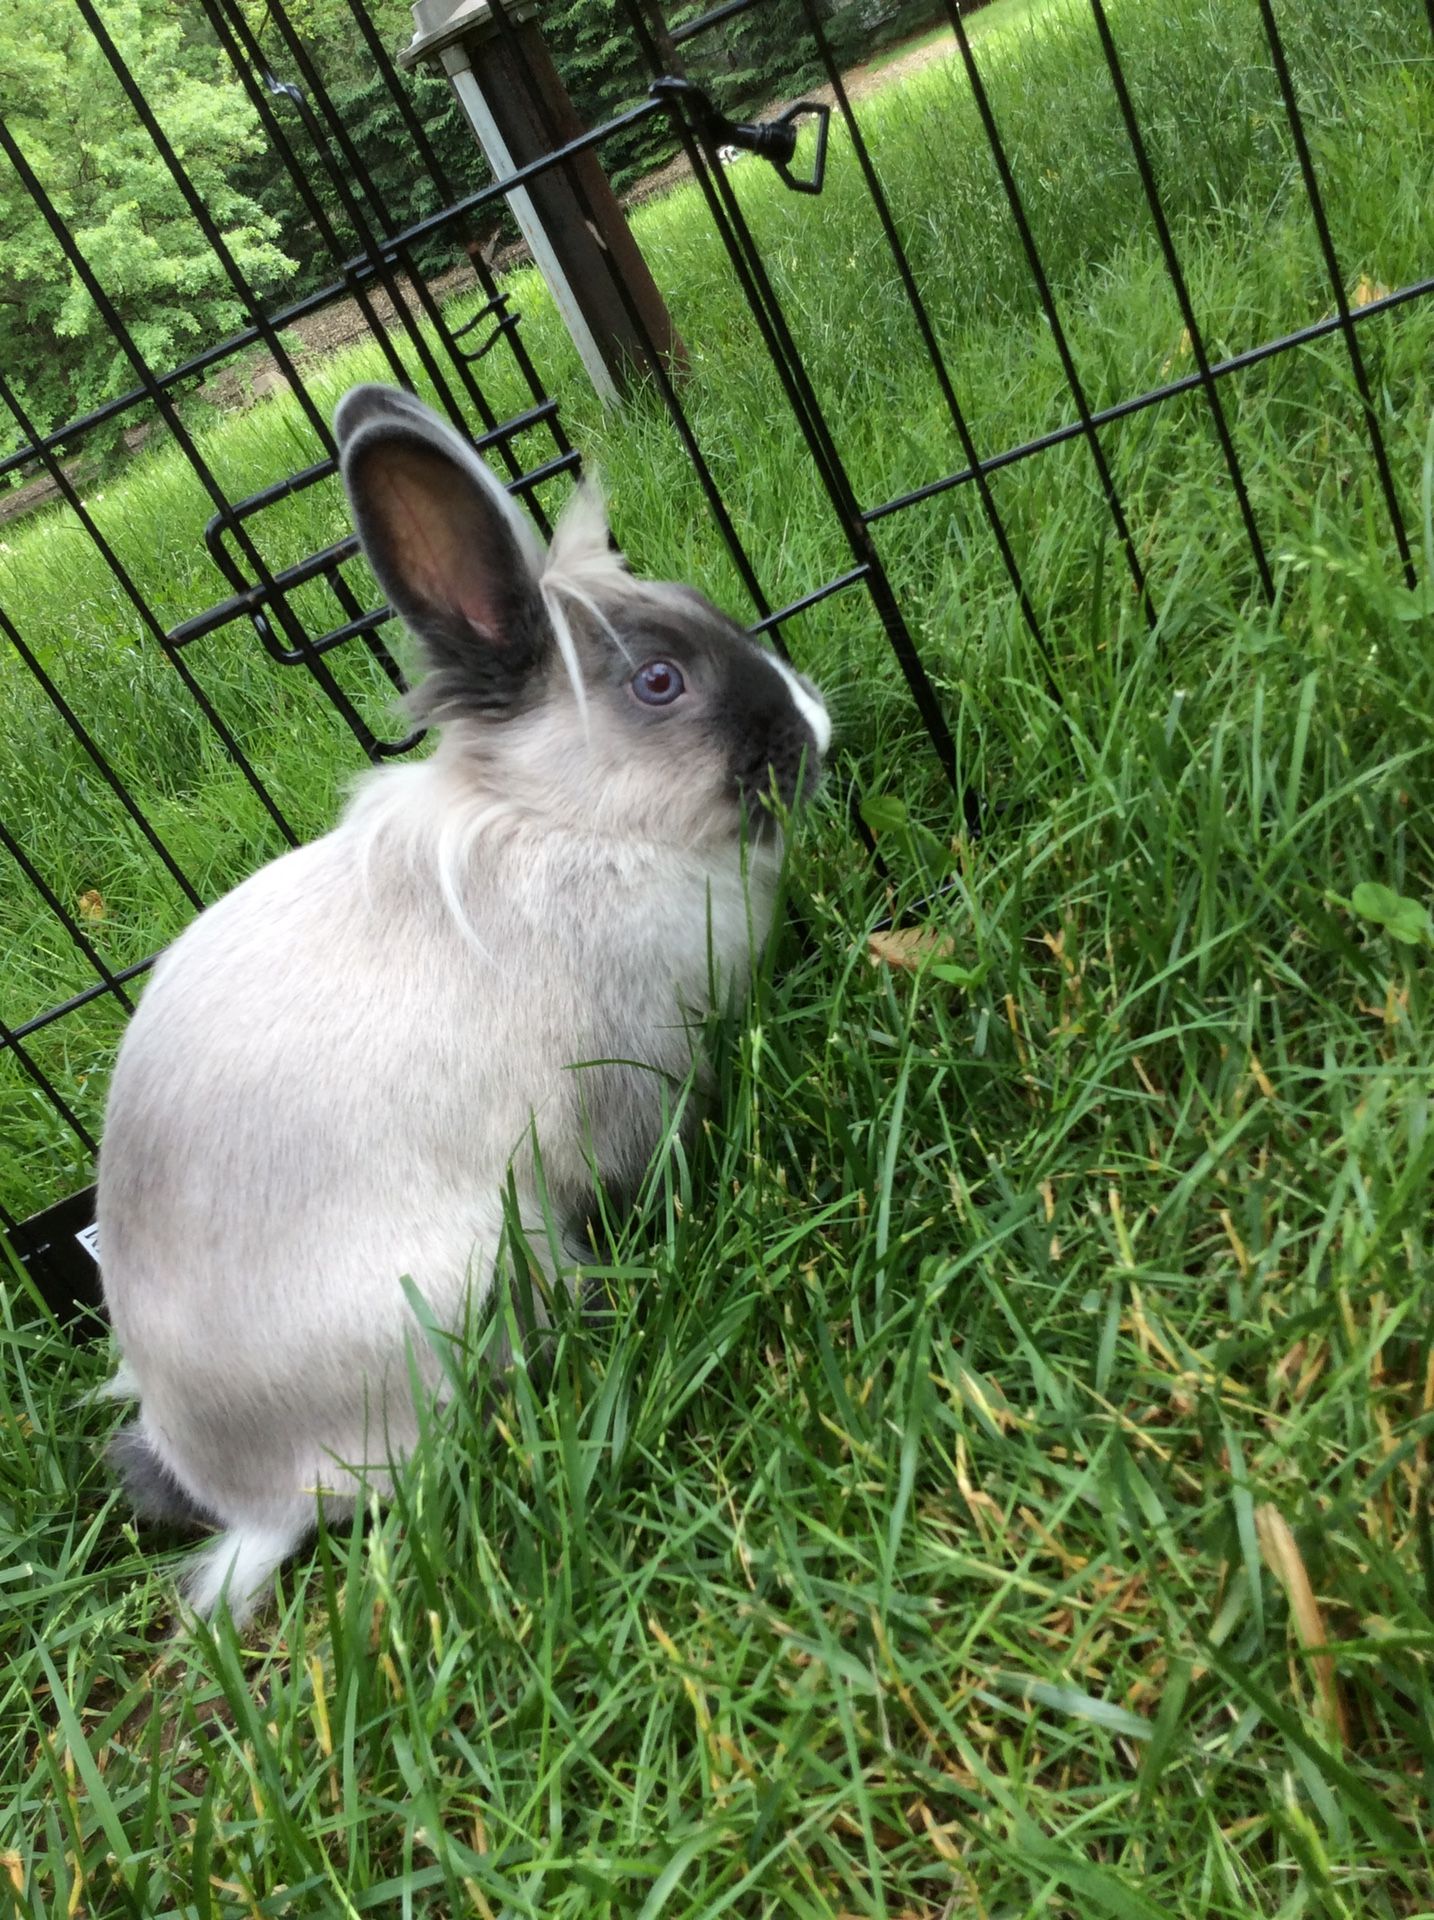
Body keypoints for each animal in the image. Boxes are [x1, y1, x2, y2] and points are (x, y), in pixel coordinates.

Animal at [95, 385, 829, 1620]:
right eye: (659, 682)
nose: (815, 733)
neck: (569, 824)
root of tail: (253, 1498)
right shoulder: (635, 1085)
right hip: (473, 1268)